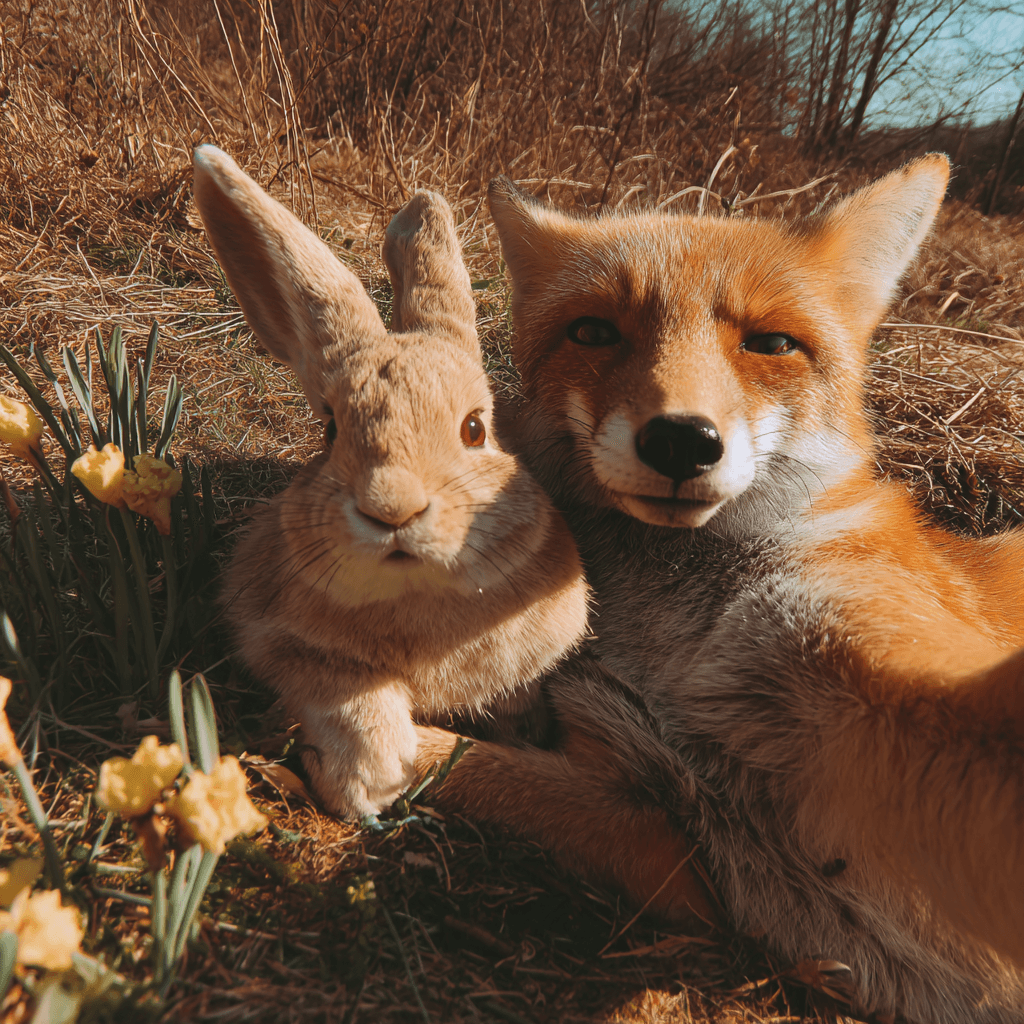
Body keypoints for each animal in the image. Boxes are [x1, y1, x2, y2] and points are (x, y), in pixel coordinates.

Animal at [191, 145, 590, 820]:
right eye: (330, 430)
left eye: (476, 428)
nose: (392, 508)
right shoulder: (281, 642)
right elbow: (352, 700)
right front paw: (366, 782)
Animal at [412, 154, 1024, 1024]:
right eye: (594, 332)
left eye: (772, 344)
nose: (681, 440)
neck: (674, 643)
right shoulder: (672, 833)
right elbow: (451, 760)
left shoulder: (883, 663)